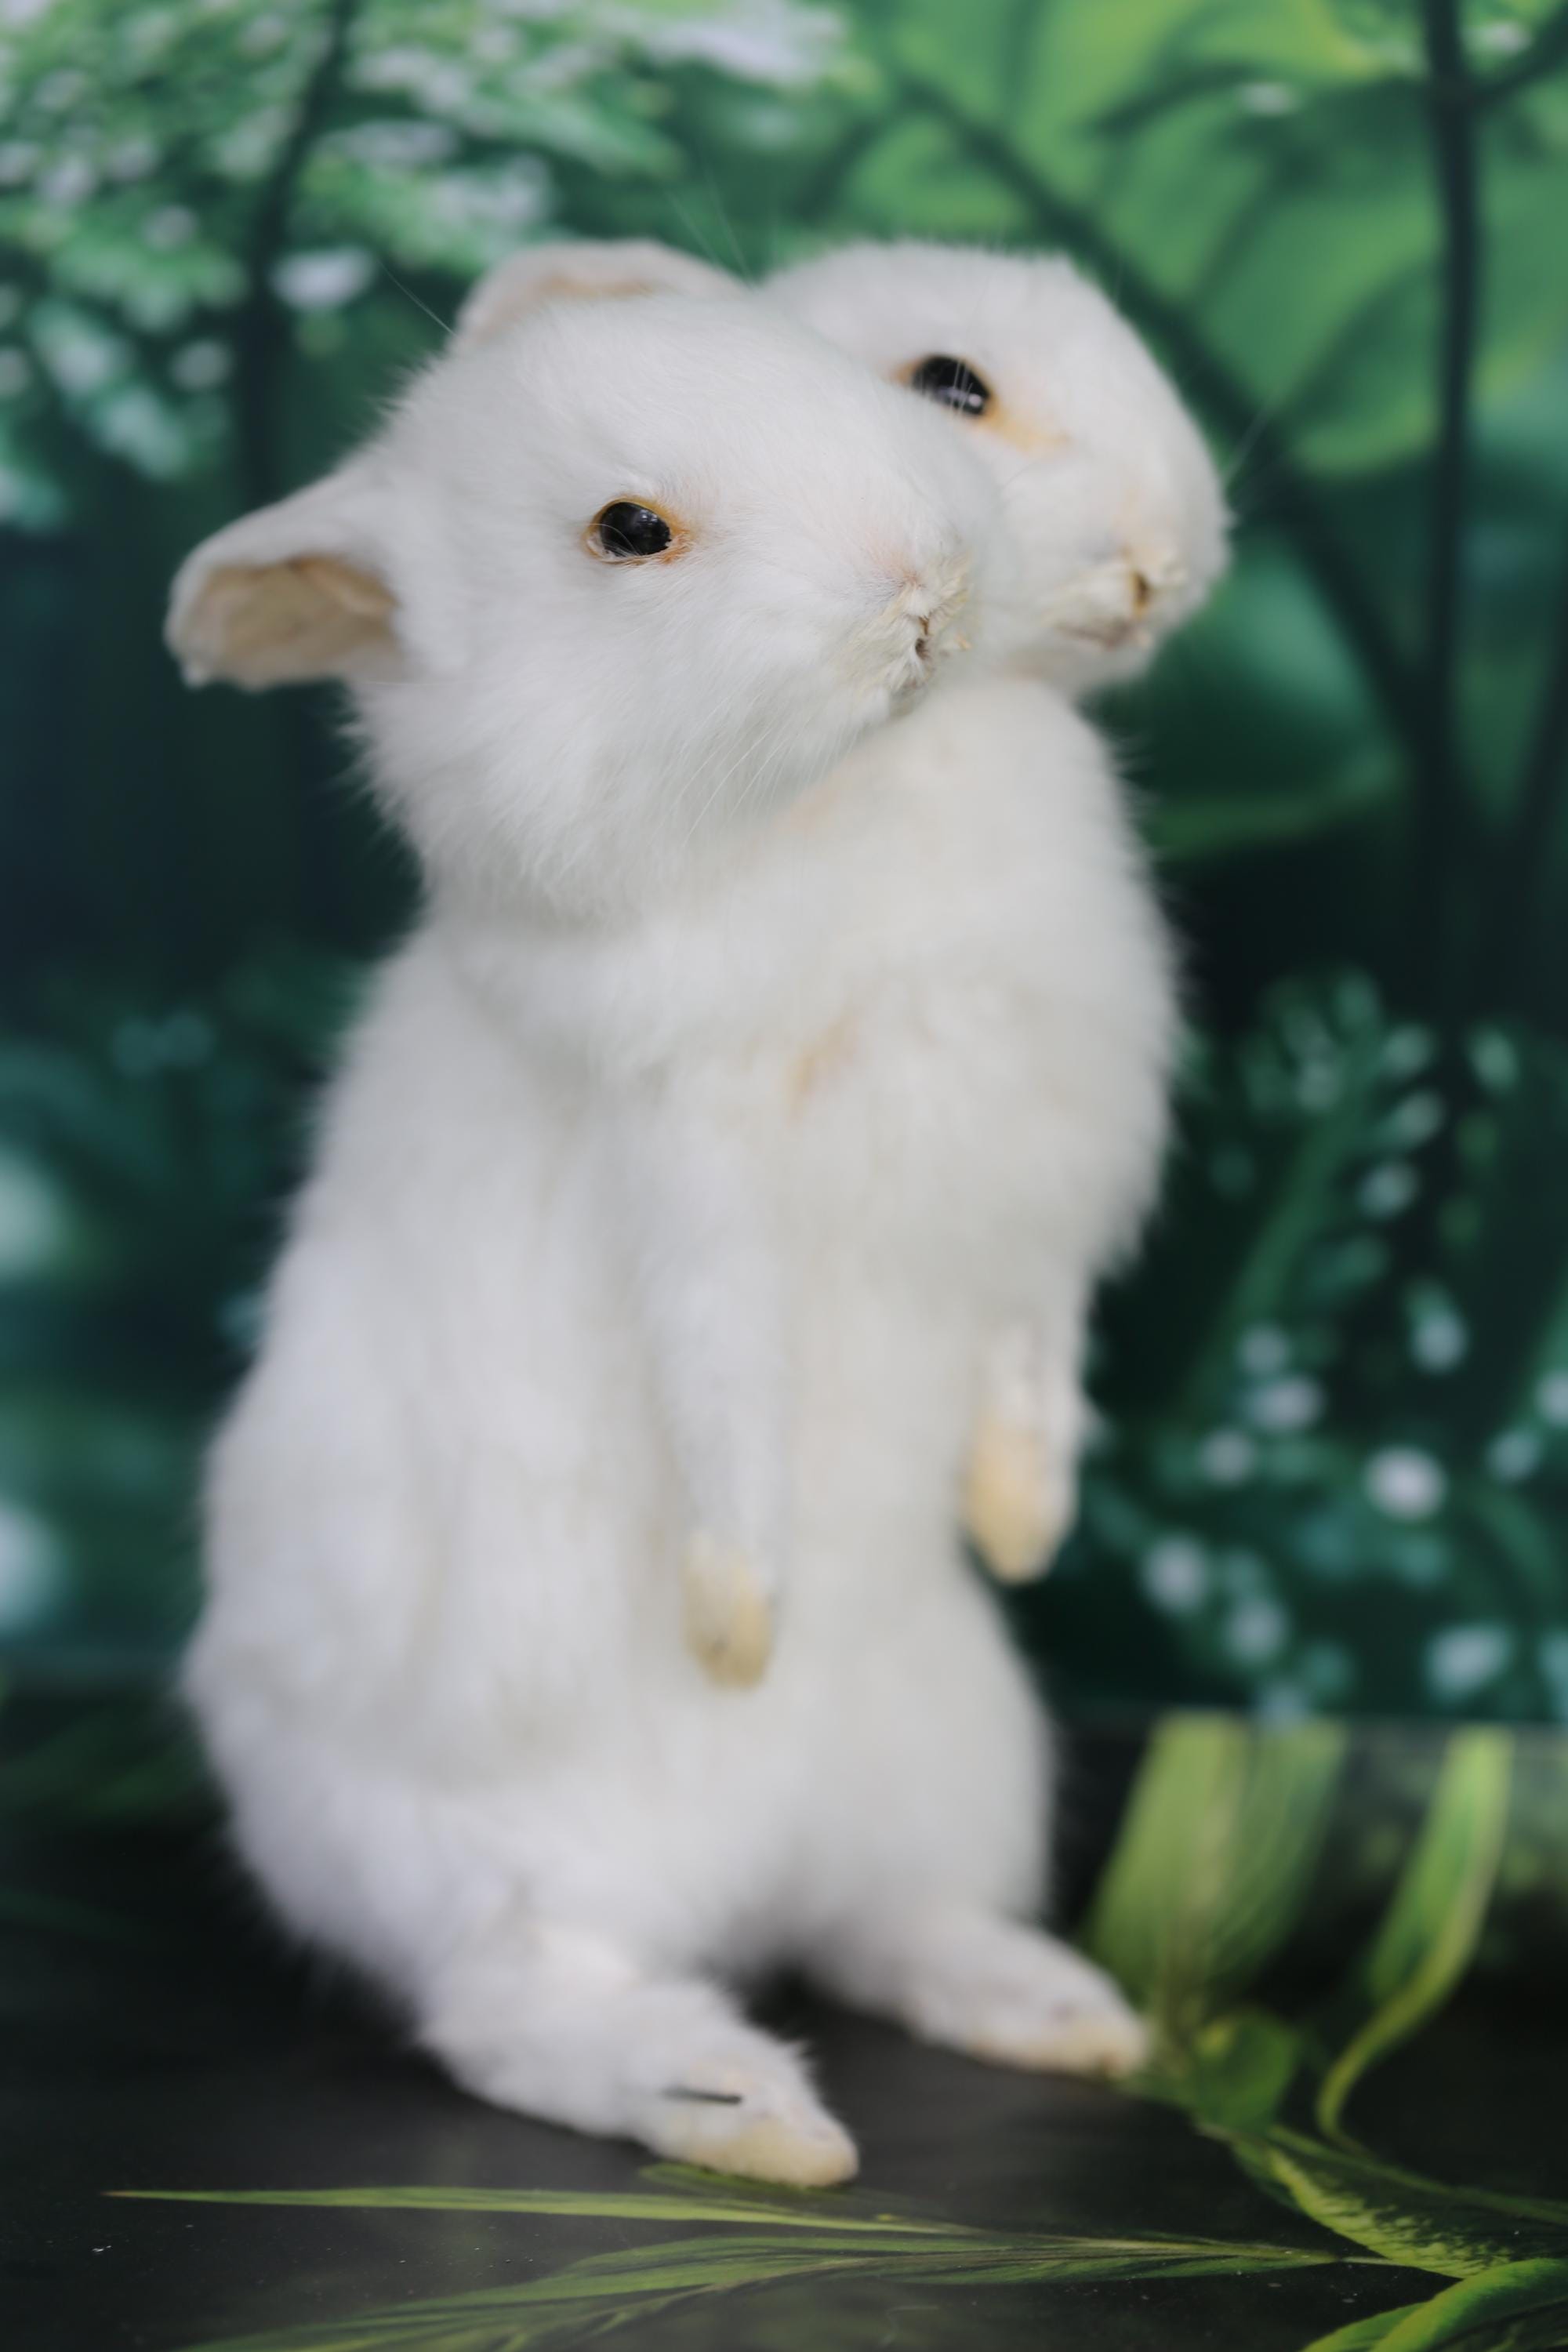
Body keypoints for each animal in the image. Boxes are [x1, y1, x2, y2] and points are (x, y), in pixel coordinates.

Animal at [169, 241, 1171, 2189]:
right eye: (628, 531)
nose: (926, 587)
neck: (863, 786)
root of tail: (733, 1891)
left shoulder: (1032, 1187)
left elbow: (1035, 1361)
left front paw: (1021, 1523)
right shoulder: (691, 1170)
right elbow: (721, 1405)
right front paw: (735, 1633)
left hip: (950, 1763)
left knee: (879, 1923)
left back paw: (1053, 2012)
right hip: (480, 1870)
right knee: (511, 2007)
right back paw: (737, 2108)